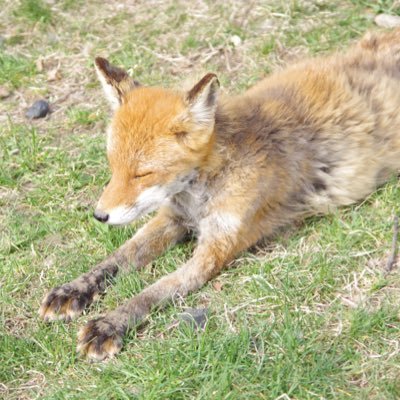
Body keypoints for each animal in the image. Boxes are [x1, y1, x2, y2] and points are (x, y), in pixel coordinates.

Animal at [38, 28, 400, 360]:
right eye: (113, 166)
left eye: (142, 174)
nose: (99, 215)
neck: (201, 195)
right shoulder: (173, 217)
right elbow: (118, 258)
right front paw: (74, 290)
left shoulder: (217, 247)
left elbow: (155, 290)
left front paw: (110, 324)